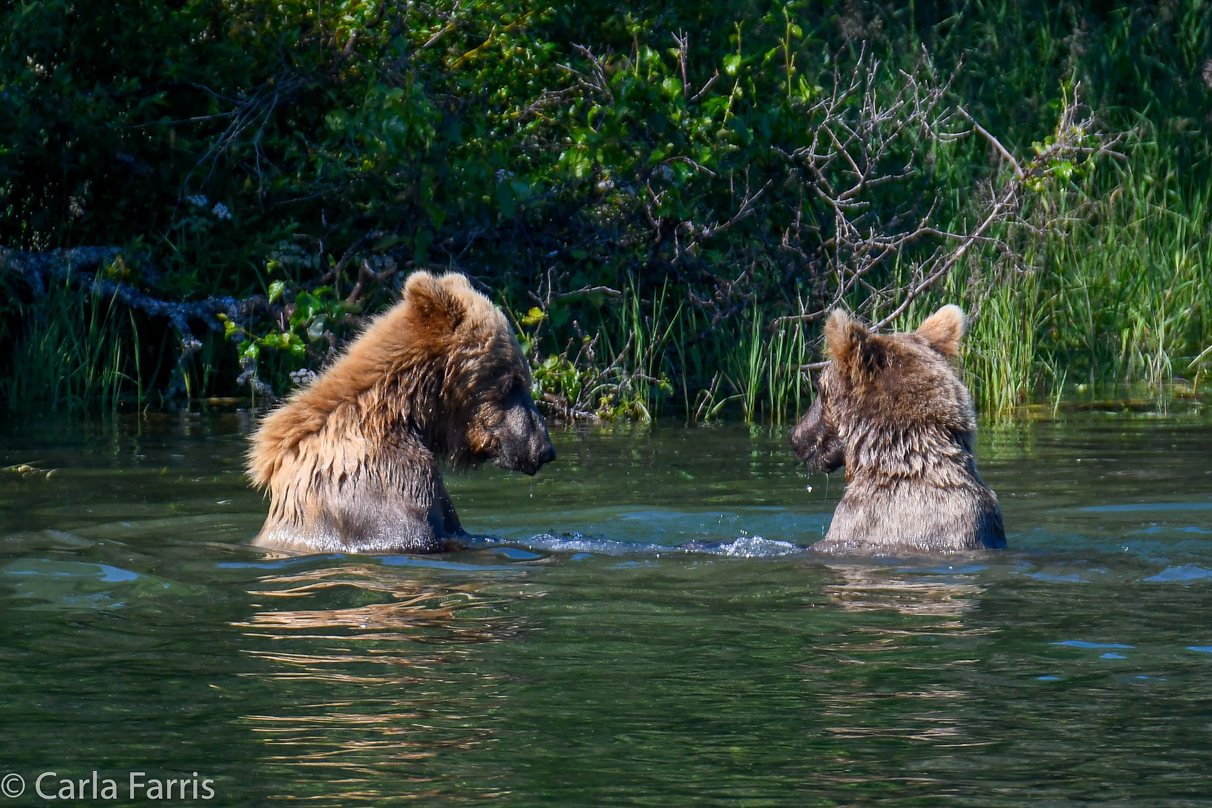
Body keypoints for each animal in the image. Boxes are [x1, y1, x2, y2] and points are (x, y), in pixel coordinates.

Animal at [248, 271, 555, 557]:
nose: (545, 450)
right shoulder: (383, 482)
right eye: (513, 381)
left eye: (522, 378)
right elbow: (412, 534)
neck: (407, 412)